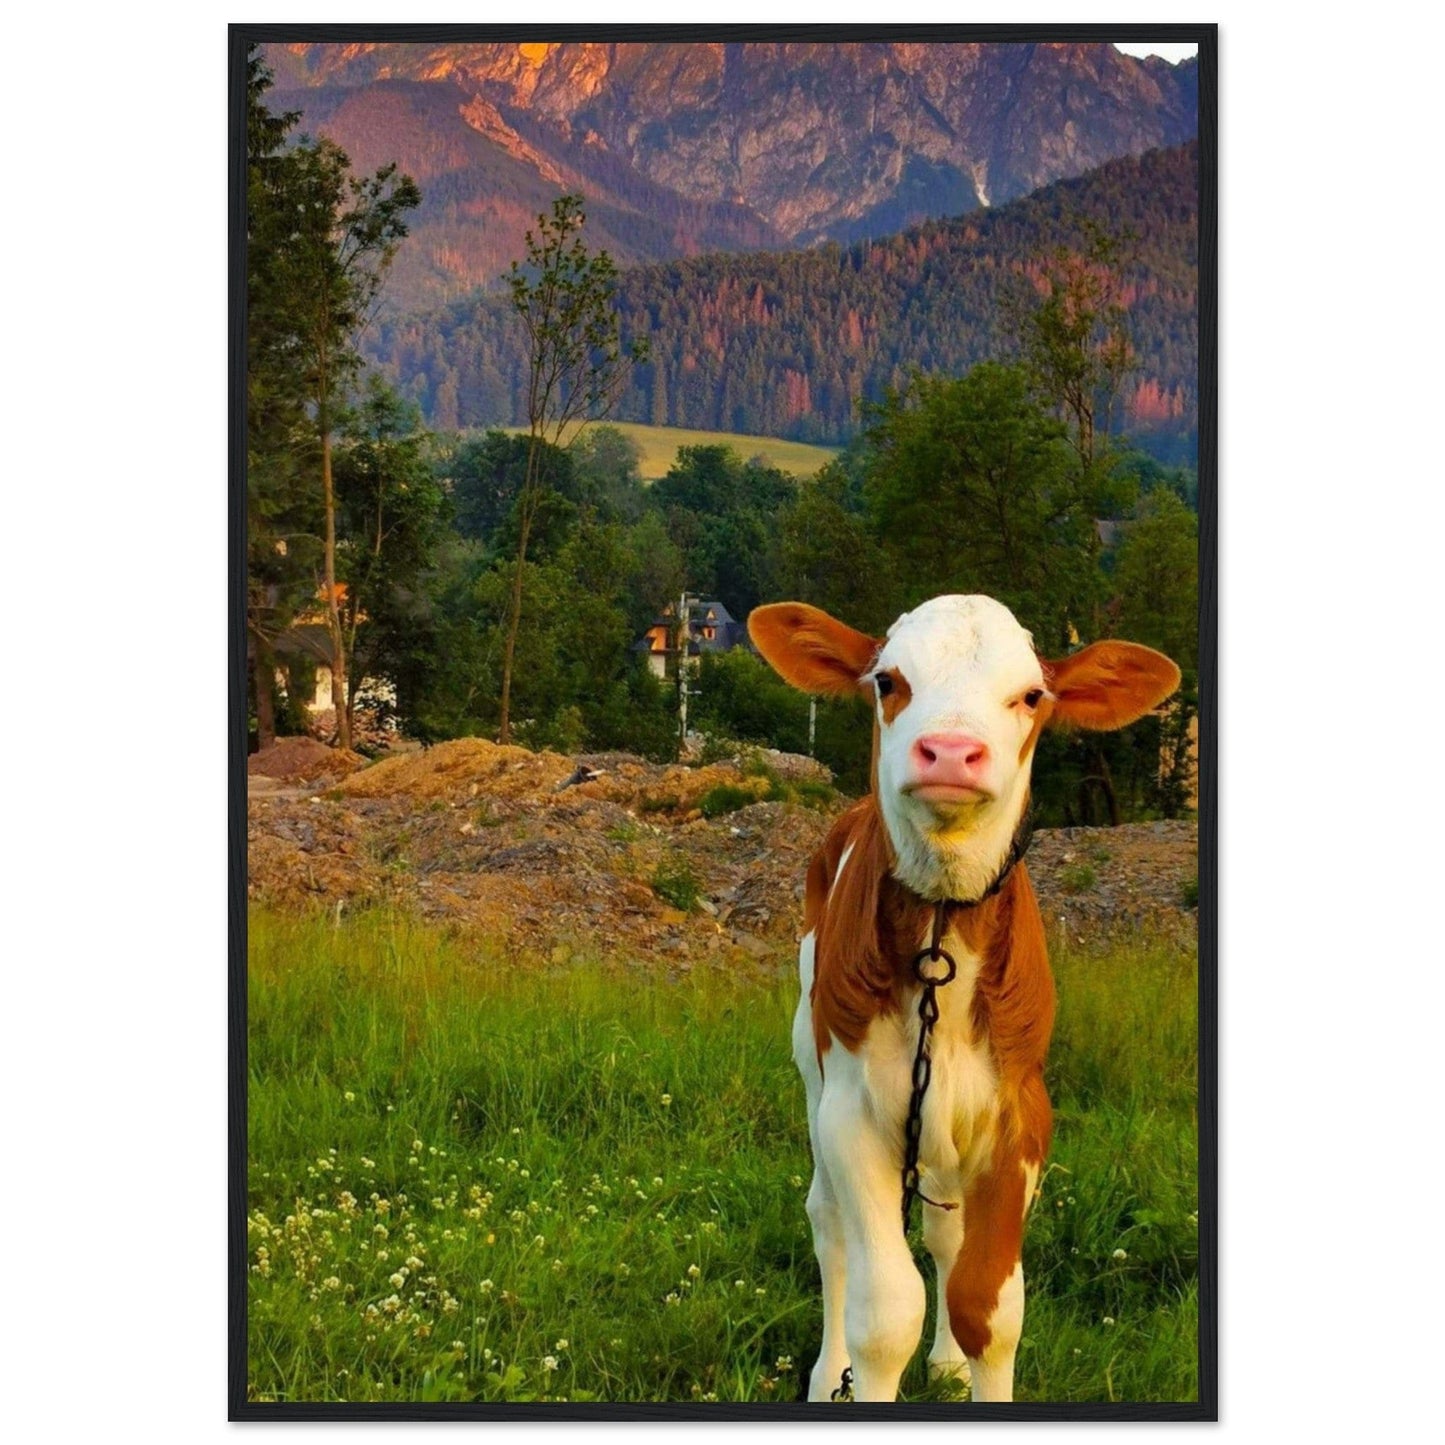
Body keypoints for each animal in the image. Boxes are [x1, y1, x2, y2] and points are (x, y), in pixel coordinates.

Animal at [747, 594, 1181, 1404]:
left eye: (1031, 696)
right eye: (887, 681)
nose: (949, 751)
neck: (942, 927)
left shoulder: (1019, 1111)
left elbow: (988, 1305)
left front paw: (961, 1351)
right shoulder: (852, 1110)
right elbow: (885, 1315)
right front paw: (861, 1368)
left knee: (944, 1234)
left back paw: (944, 1360)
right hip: (809, 1059)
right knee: (828, 1221)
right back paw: (826, 1372)